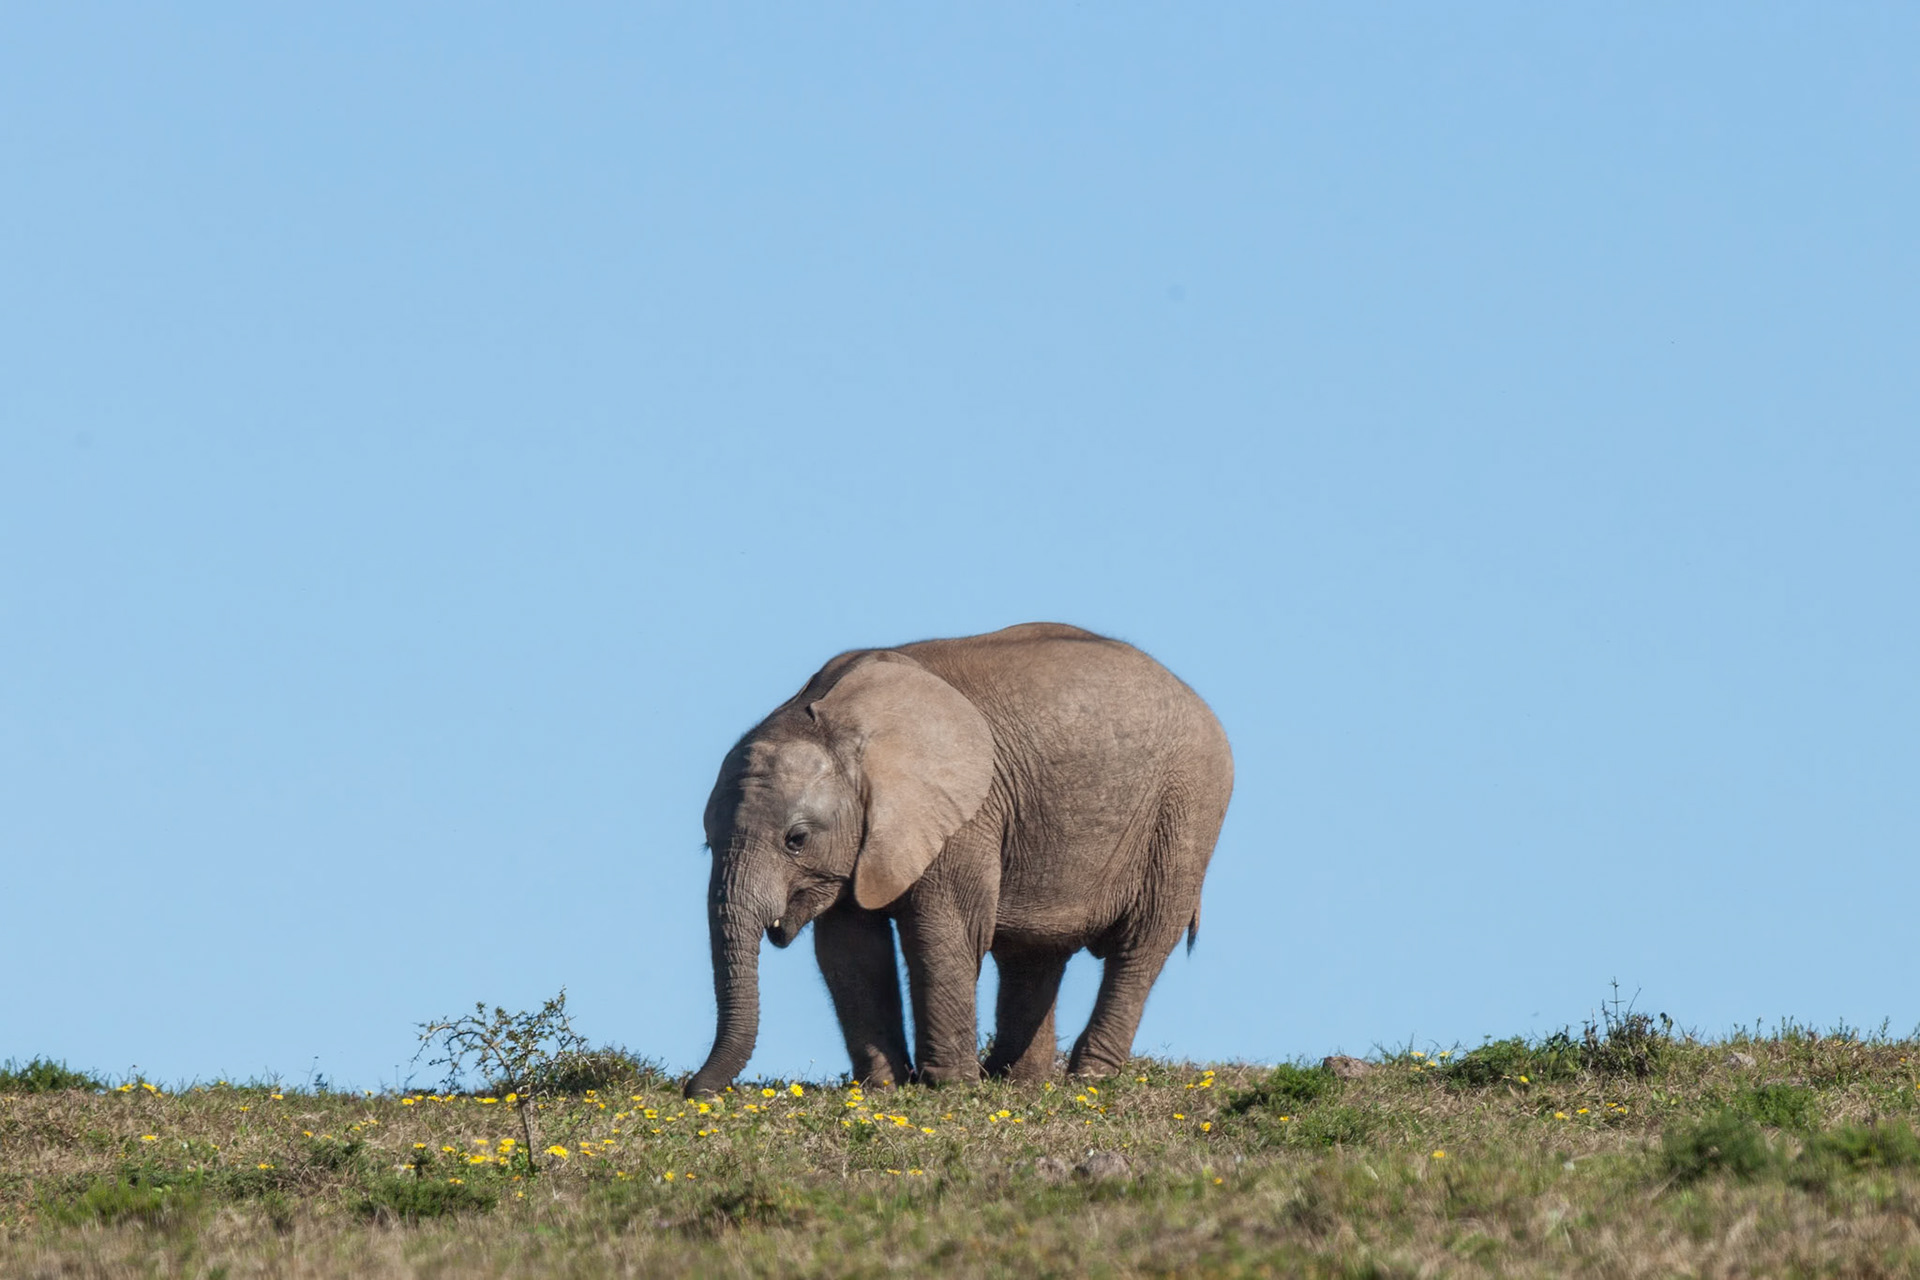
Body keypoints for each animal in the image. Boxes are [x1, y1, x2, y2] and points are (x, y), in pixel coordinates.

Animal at [684, 622, 1232, 1097]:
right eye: (708, 844)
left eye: (796, 839)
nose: (694, 1090)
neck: (835, 718)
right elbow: (850, 951)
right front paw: (884, 1090)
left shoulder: (965, 813)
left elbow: (944, 930)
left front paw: (947, 1089)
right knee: (1032, 956)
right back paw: (1017, 1083)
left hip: (1187, 808)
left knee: (1140, 944)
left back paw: (1087, 1080)